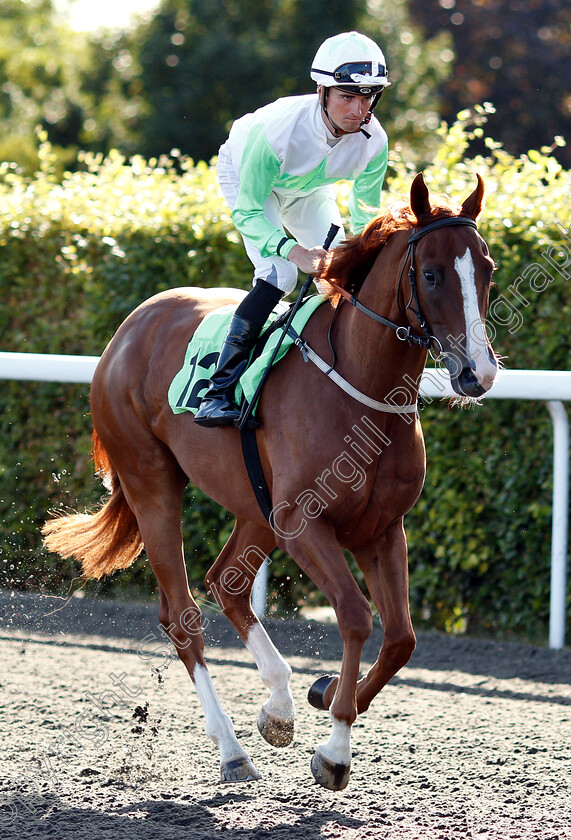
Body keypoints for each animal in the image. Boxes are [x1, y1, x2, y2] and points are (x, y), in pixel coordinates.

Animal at [43, 174, 500, 792]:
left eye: (488, 268)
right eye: (430, 274)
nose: (479, 373)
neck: (360, 386)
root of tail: (129, 328)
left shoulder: (381, 528)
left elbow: (401, 638)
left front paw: (324, 692)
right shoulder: (303, 523)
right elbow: (355, 616)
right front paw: (335, 751)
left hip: (254, 506)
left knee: (227, 583)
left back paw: (278, 705)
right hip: (151, 482)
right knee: (182, 615)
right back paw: (232, 750)